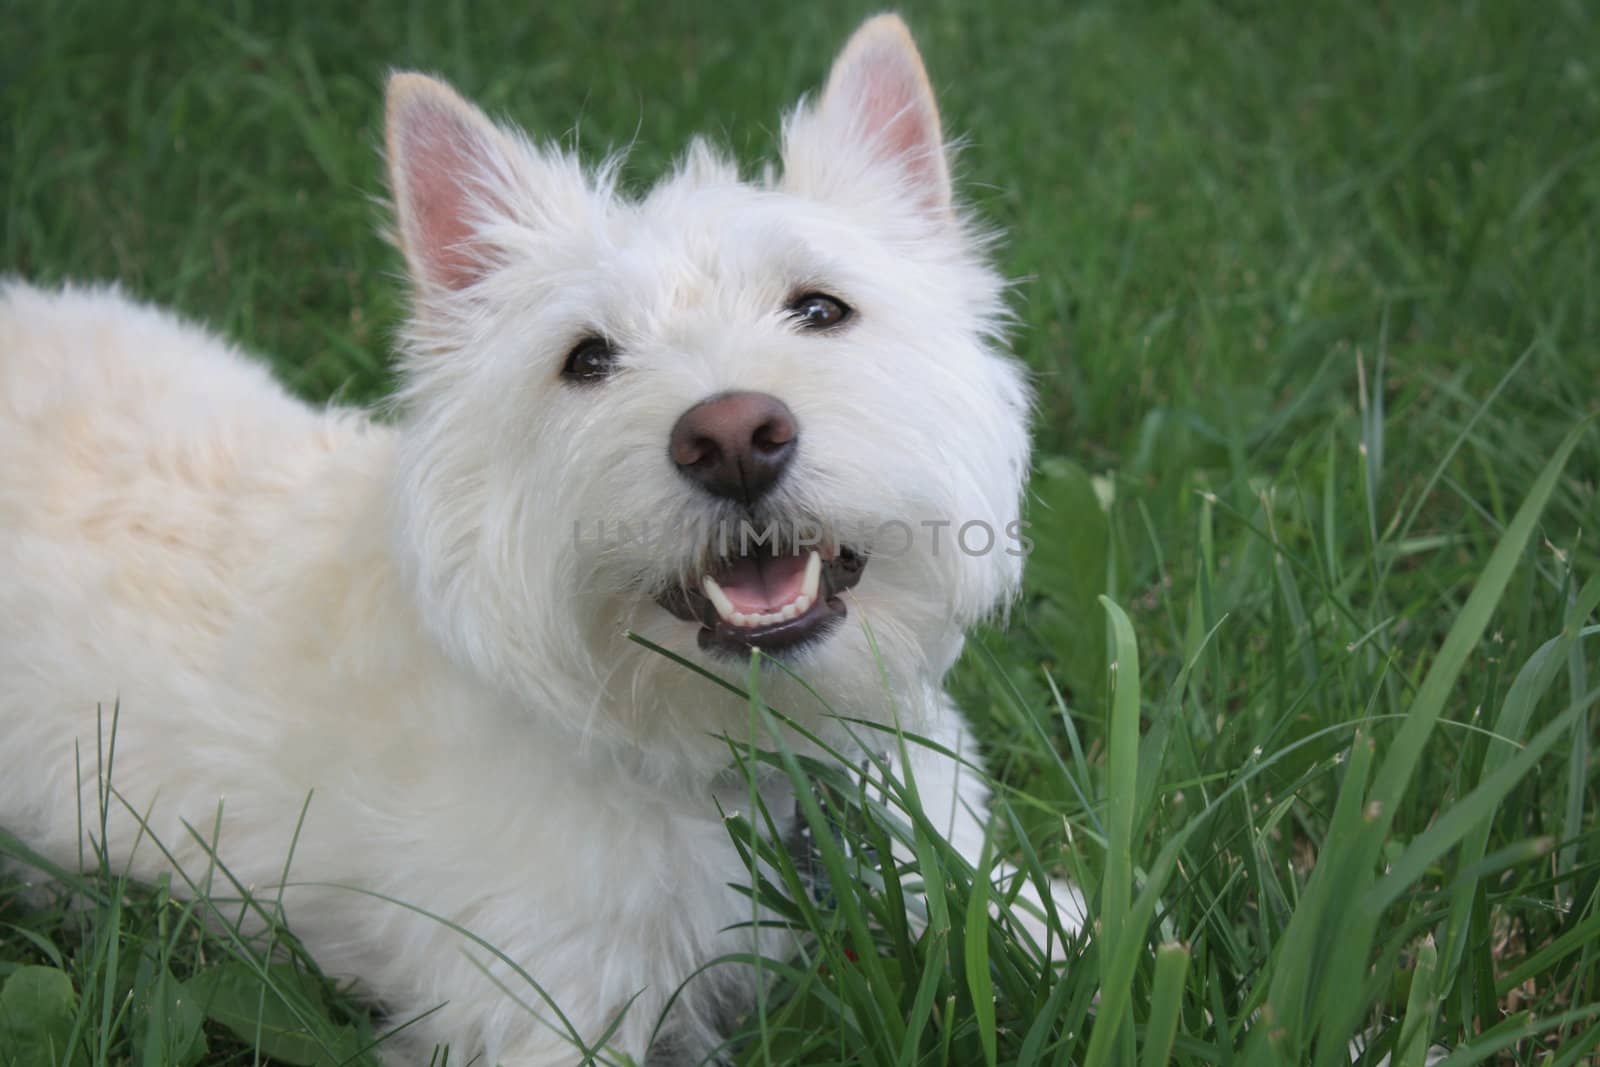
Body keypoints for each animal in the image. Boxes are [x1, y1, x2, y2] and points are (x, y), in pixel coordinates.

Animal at [3, 16, 1075, 1067]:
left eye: (820, 307)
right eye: (587, 358)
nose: (732, 439)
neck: (739, 755)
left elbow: (1050, 926)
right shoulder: (539, 1005)